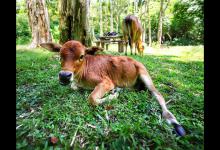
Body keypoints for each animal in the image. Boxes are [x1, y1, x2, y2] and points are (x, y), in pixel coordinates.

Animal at [40, 40, 186, 137]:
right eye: (60, 55)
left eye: (81, 56)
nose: (64, 76)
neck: (80, 76)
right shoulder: (75, 83)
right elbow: (74, 87)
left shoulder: (106, 82)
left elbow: (91, 98)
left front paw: (113, 96)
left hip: (145, 75)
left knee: (158, 95)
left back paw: (173, 120)